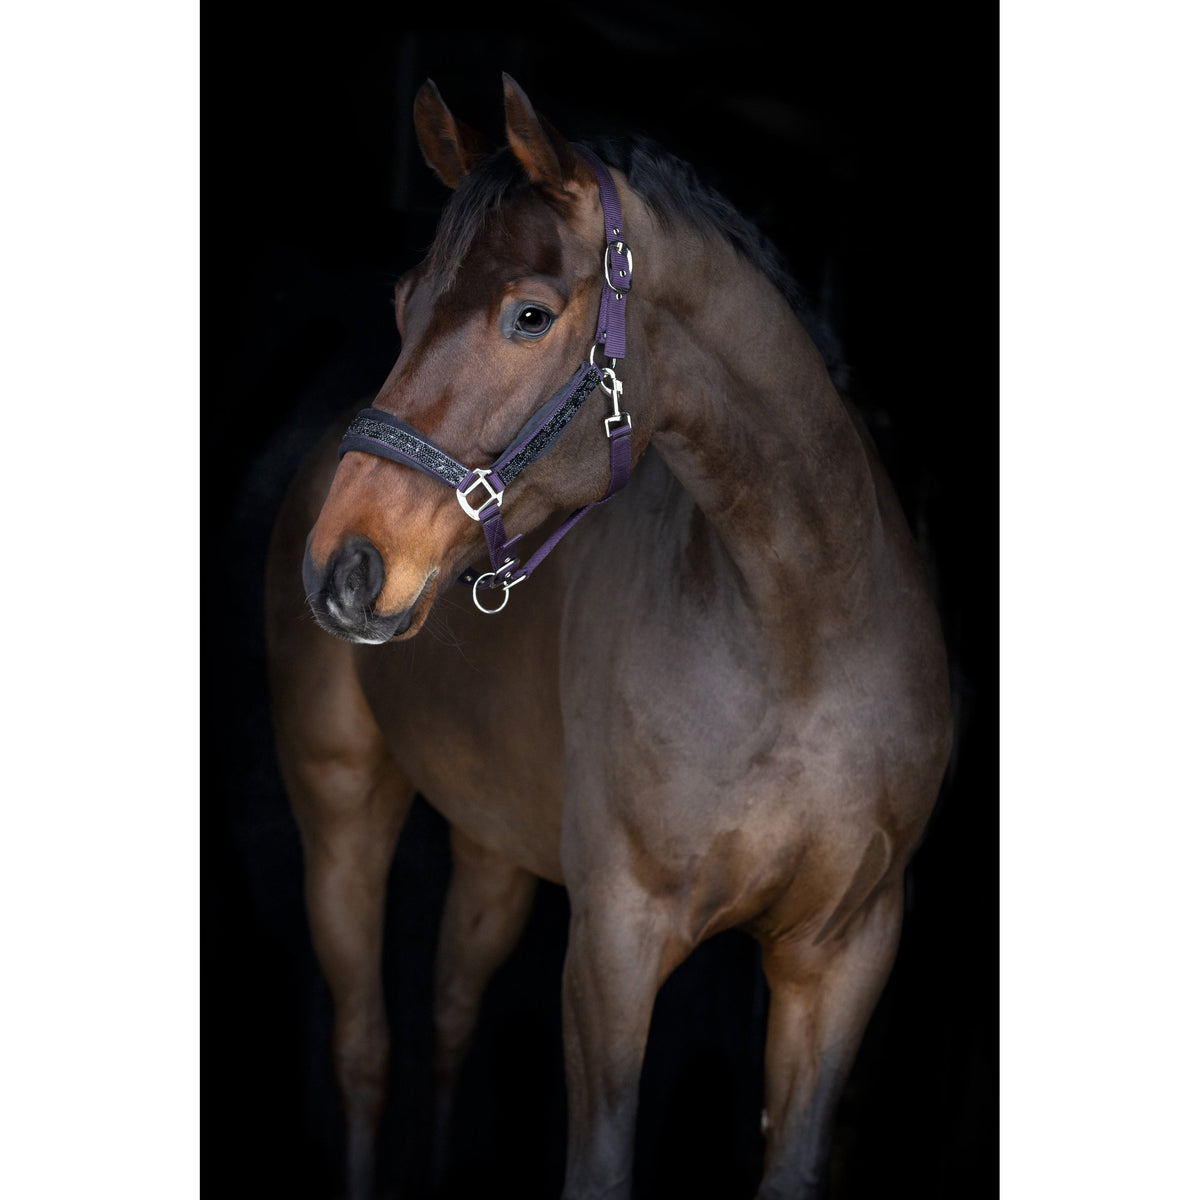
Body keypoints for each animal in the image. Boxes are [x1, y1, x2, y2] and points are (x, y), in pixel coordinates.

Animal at [265, 73, 952, 1200]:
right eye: (404, 305)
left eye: (529, 315)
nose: (345, 565)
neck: (802, 635)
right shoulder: (614, 947)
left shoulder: (843, 955)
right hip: (340, 810)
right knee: (365, 1046)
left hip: (494, 843)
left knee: (451, 1013)